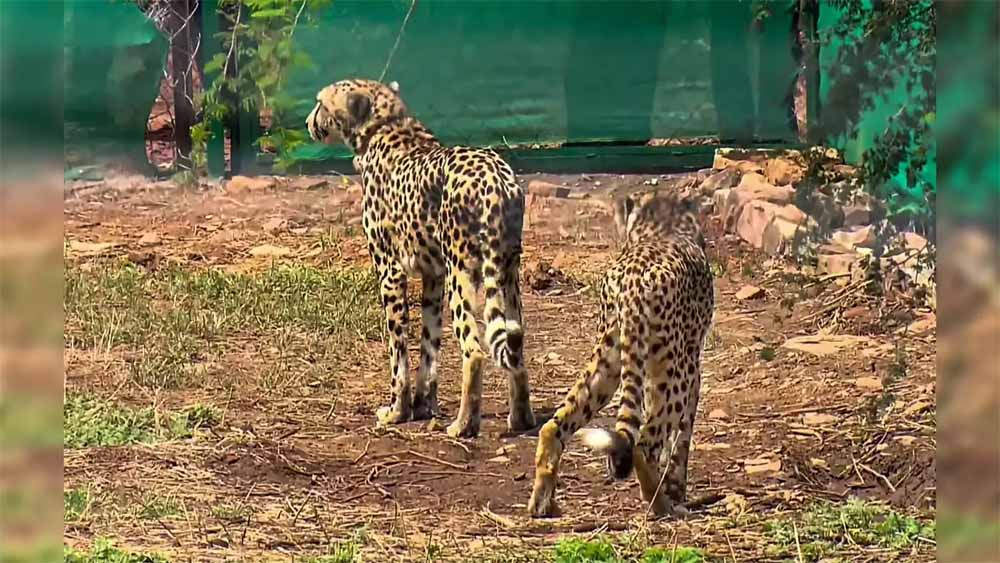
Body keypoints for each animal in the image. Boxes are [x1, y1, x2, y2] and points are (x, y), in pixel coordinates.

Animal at [304, 79, 536, 440]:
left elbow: (398, 351)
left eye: (321, 103)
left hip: (462, 272)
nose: (307, 122)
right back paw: (521, 418)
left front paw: (397, 411)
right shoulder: (433, 275)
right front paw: (424, 406)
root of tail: (495, 177)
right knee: (515, 344)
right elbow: (429, 345)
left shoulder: (390, 272)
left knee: (474, 349)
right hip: (507, 274)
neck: (385, 126)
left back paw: (463, 425)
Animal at [528, 189, 716, 520]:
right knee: (644, 443)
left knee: (554, 425)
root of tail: (632, 281)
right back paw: (662, 506)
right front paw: (676, 488)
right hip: (674, 372)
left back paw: (542, 503)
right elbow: (682, 437)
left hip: (608, 362)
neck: (661, 226)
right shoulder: (691, 366)